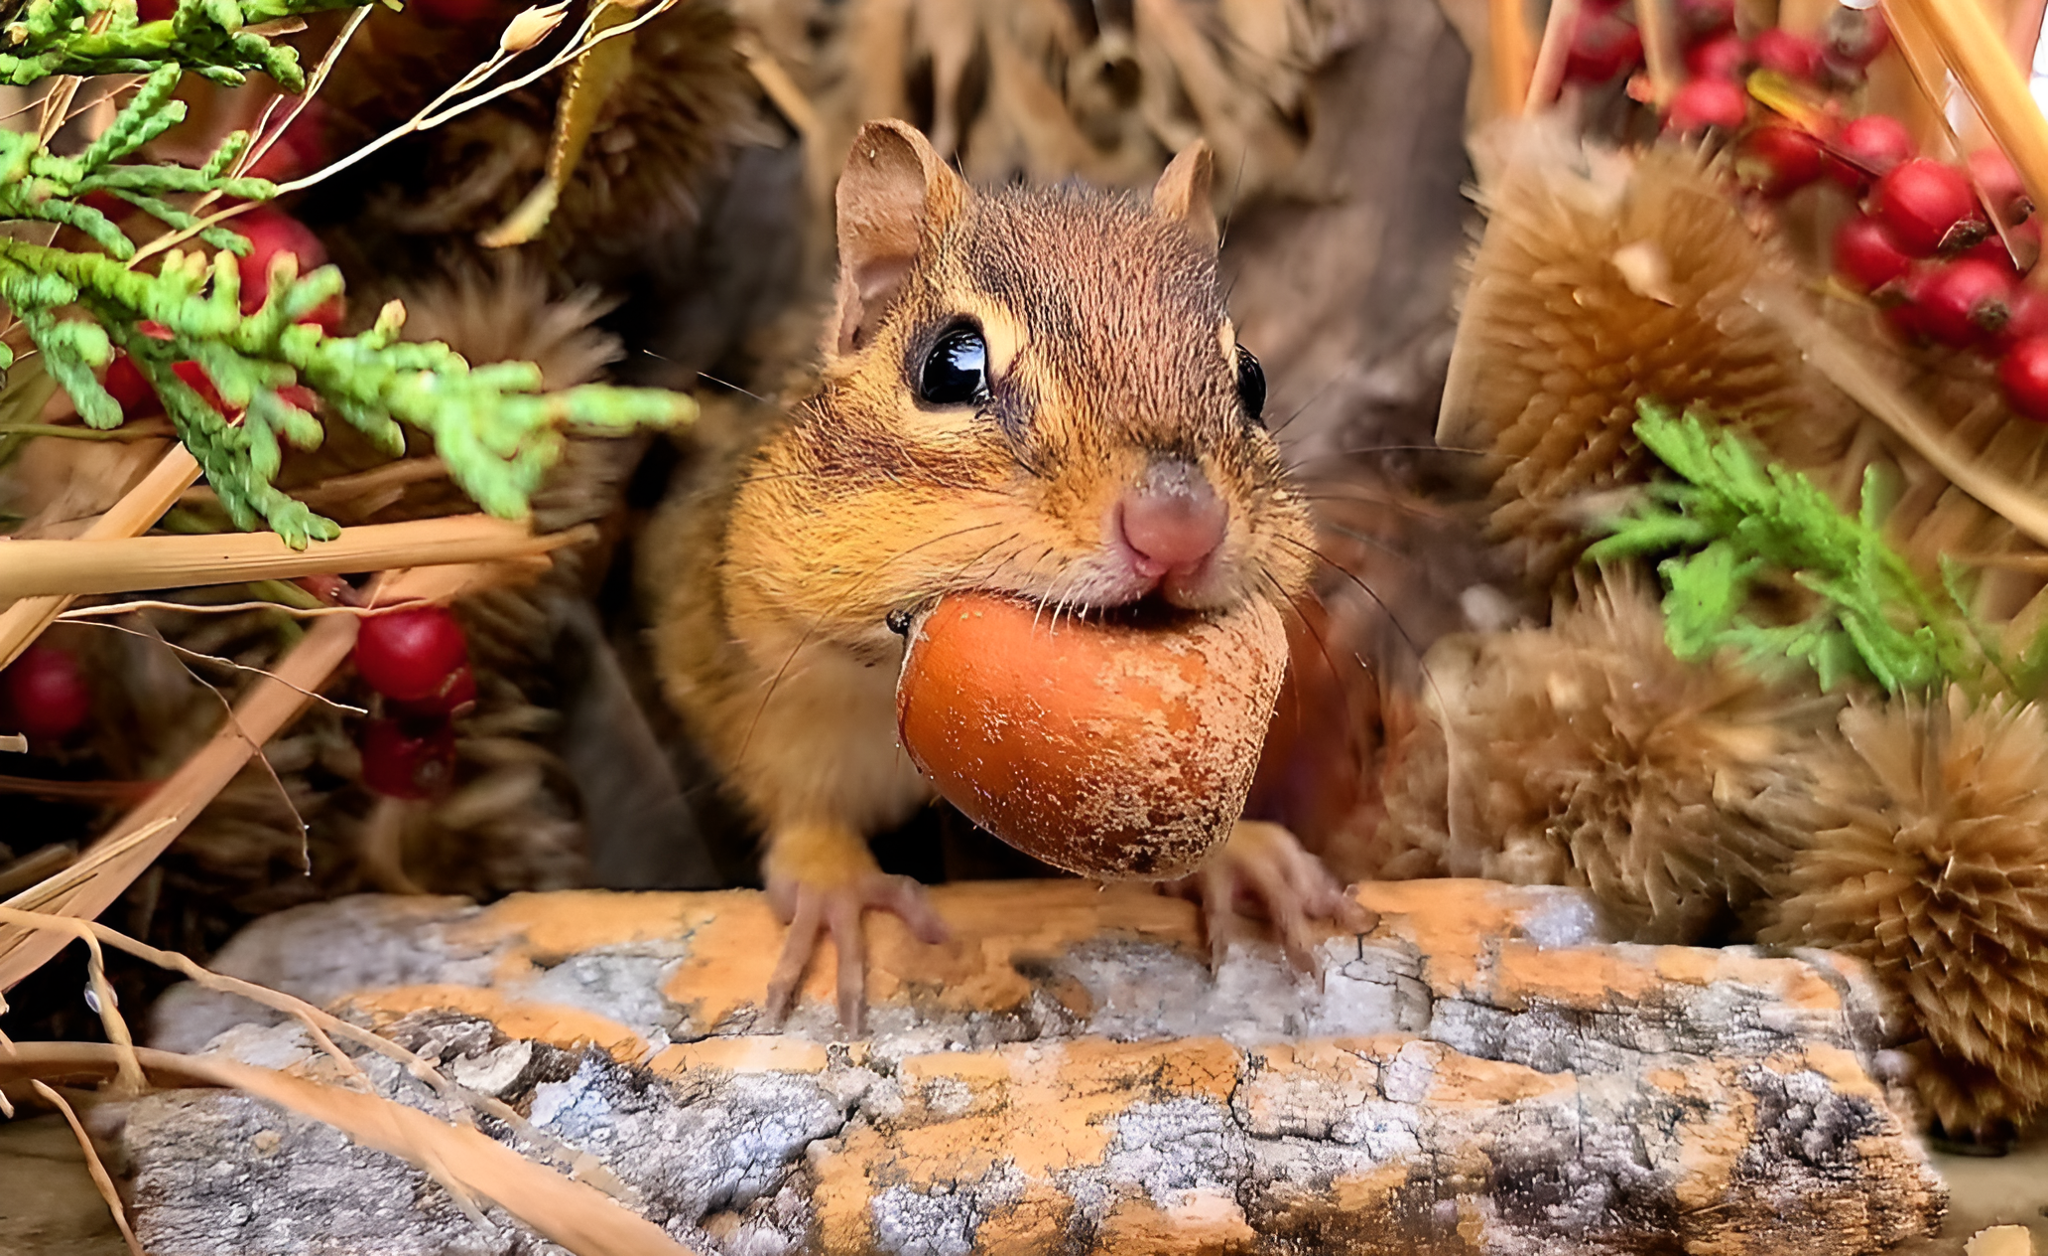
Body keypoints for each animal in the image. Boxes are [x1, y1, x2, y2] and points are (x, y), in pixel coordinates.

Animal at [643, 119, 1370, 1030]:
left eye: (1253, 378)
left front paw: (1245, 854)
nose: (1178, 526)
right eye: (949, 368)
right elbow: (791, 793)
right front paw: (835, 884)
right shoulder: (734, 649)